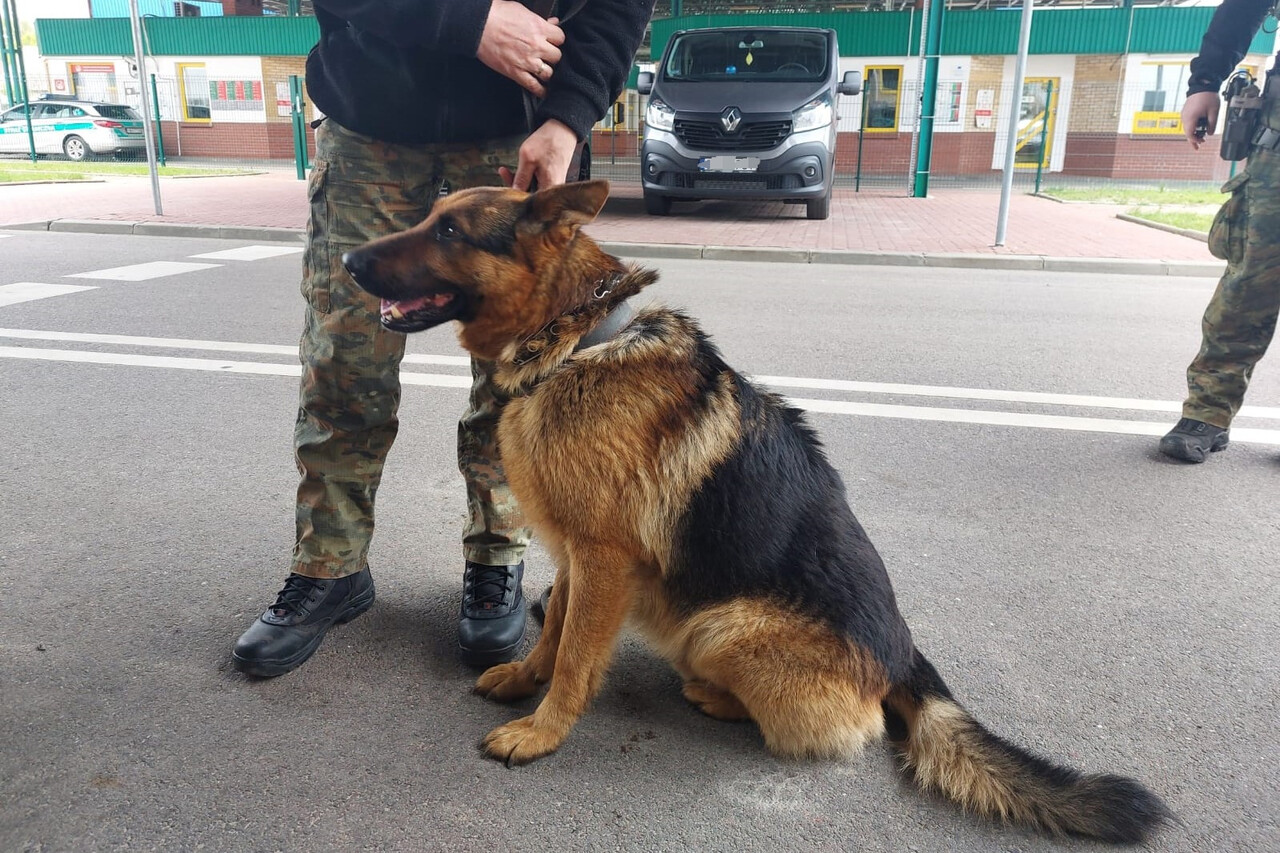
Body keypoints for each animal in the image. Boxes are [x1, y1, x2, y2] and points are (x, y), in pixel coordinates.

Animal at [340, 183, 1172, 840]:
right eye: (431, 217)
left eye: (450, 231)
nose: (347, 261)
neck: (578, 341)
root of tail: (904, 652)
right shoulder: (577, 554)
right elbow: (555, 632)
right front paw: (523, 676)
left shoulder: (604, 559)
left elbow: (577, 656)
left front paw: (544, 731)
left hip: (722, 625)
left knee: (850, 726)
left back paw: (714, 694)